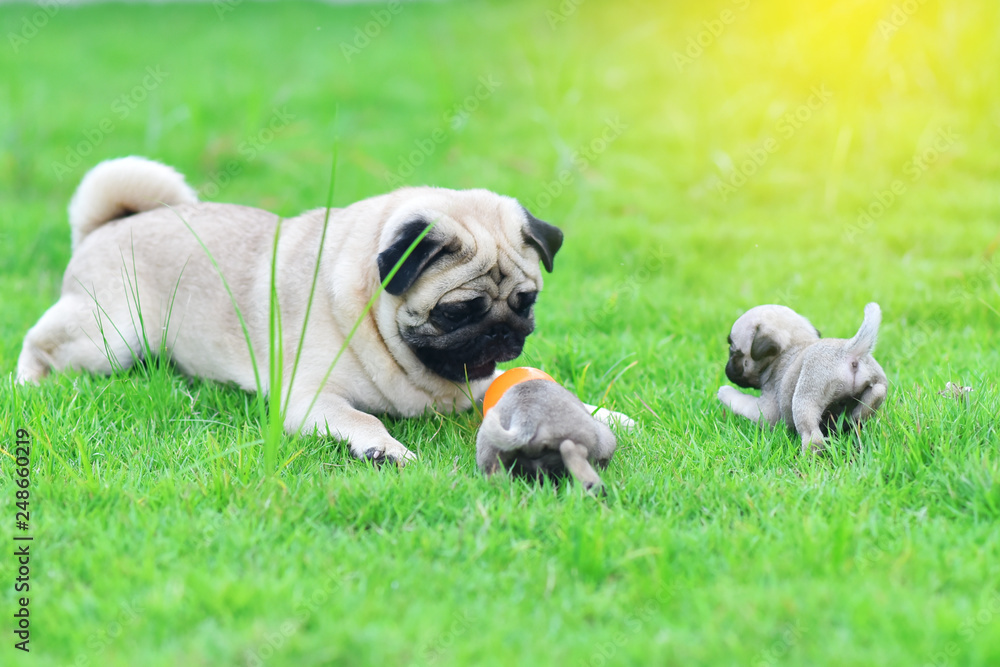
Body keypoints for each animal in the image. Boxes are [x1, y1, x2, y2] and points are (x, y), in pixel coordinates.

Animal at [19, 159, 576, 468]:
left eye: (526, 302)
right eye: (457, 313)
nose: (503, 333)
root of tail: (106, 226)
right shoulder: (313, 397)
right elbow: (362, 418)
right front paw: (383, 448)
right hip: (110, 336)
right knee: (37, 341)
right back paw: (27, 384)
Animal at [716, 304, 888, 454]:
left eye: (733, 351)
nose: (727, 369)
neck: (791, 347)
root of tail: (848, 352)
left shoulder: (766, 411)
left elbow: (742, 402)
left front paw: (724, 391)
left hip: (805, 400)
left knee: (813, 436)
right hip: (877, 384)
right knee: (874, 396)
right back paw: (853, 419)